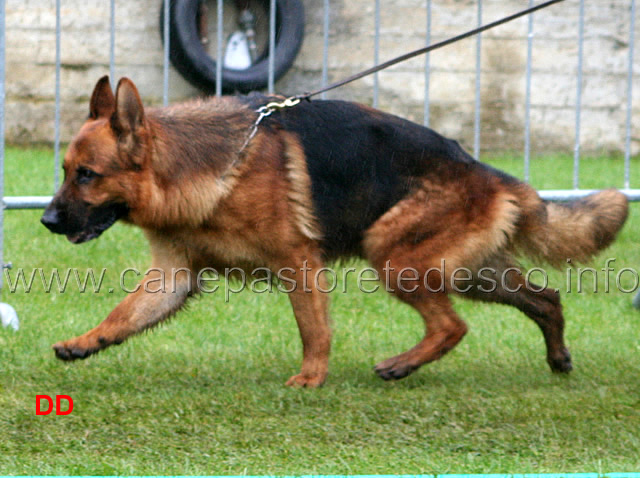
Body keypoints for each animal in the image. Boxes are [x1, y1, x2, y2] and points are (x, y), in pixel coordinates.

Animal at [41, 76, 632, 386]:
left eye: (87, 175)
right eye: (65, 171)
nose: (47, 221)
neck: (194, 168)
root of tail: (490, 173)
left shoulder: (298, 262)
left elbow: (313, 328)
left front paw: (311, 378)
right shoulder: (172, 276)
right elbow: (122, 315)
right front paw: (84, 343)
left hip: (393, 256)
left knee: (453, 326)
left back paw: (400, 365)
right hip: (472, 273)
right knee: (545, 298)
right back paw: (557, 359)